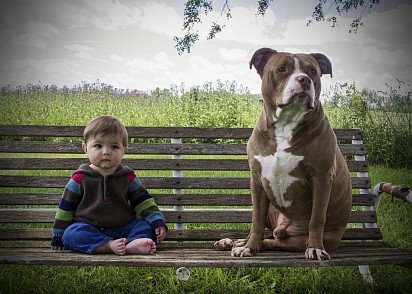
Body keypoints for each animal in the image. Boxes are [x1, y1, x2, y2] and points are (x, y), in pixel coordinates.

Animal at [214, 47, 352, 260]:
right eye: (282, 69)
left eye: (313, 71)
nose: (304, 79)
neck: (286, 123)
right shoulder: (257, 181)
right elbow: (256, 221)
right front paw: (249, 248)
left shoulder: (321, 178)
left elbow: (317, 218)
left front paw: (316, 249)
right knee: (264, 233)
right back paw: (234, 242)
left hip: (304, 239)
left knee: (277, 241)